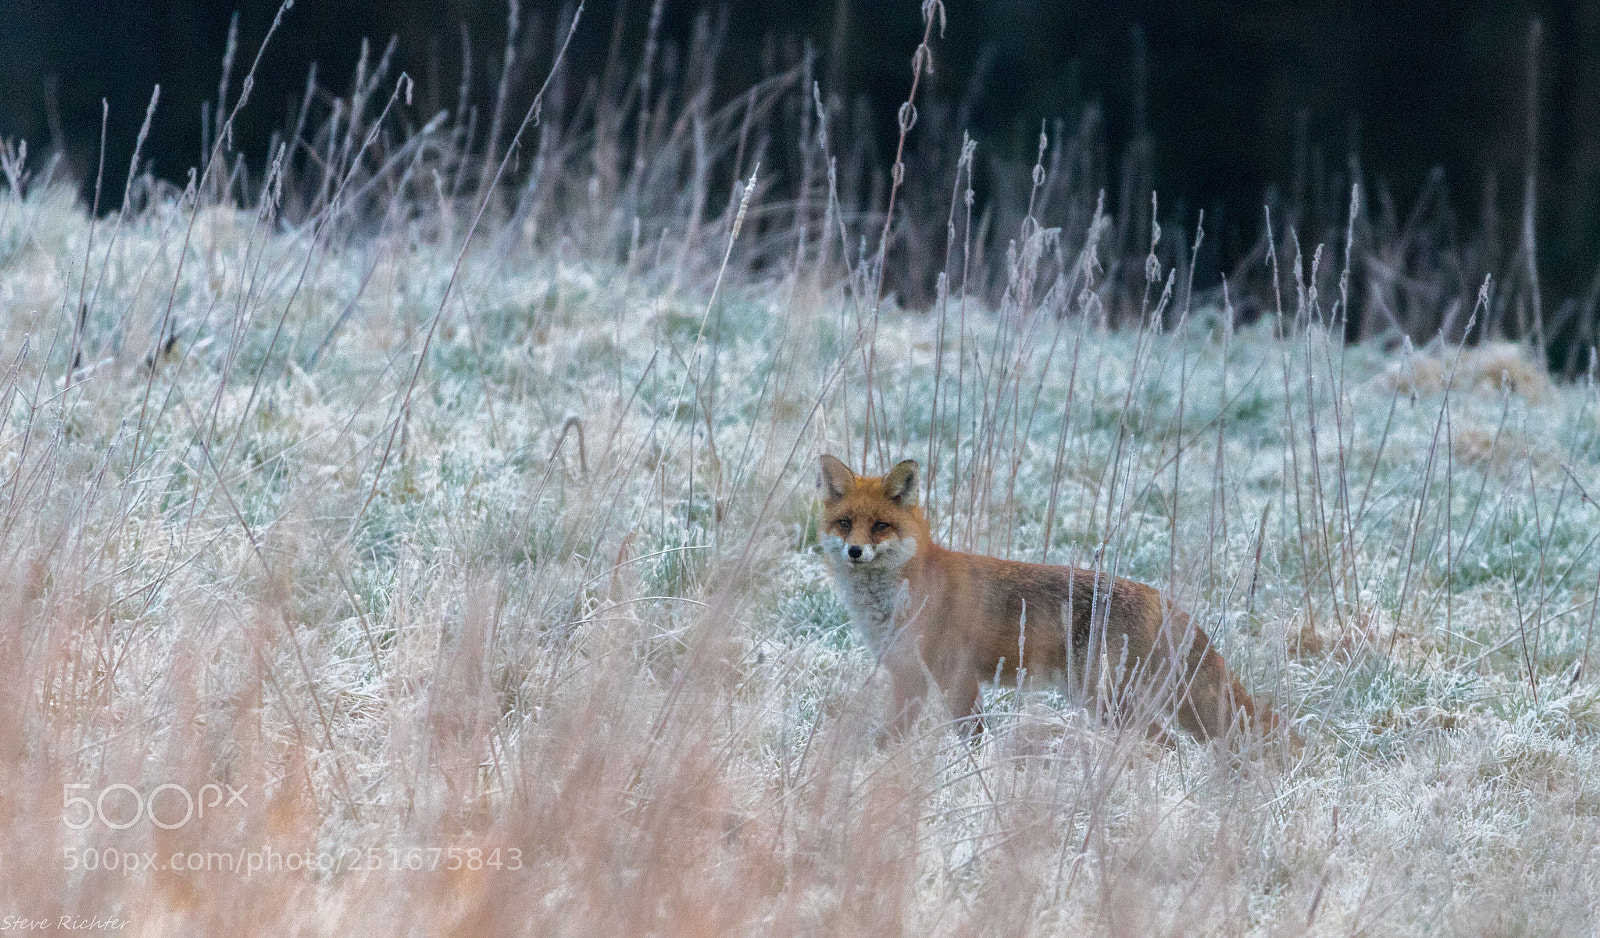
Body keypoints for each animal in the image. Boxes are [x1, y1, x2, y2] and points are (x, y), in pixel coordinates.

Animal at [817, 454, 1292, 746]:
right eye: (845, 523)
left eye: (880, 526)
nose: (855, 552)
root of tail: (1159, 594)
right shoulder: (906, 673)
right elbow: (892, 735)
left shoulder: (957, 672)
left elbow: (972, 736)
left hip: (1101, 696)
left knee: (1166, 744)